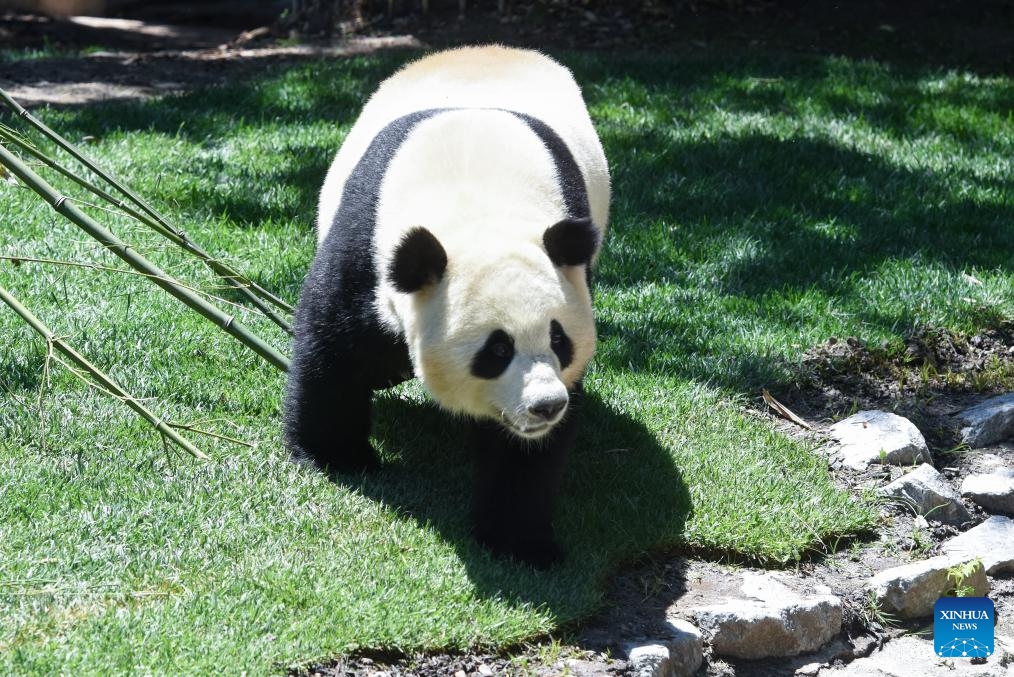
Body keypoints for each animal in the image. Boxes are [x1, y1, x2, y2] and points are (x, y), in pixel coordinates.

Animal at [284, 45, 610, 568]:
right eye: (497, 350)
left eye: (560, 340)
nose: (547, 405)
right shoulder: (366, 242)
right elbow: (333, 344)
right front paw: (334, 457)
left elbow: (521, 453)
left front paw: (520, 542)